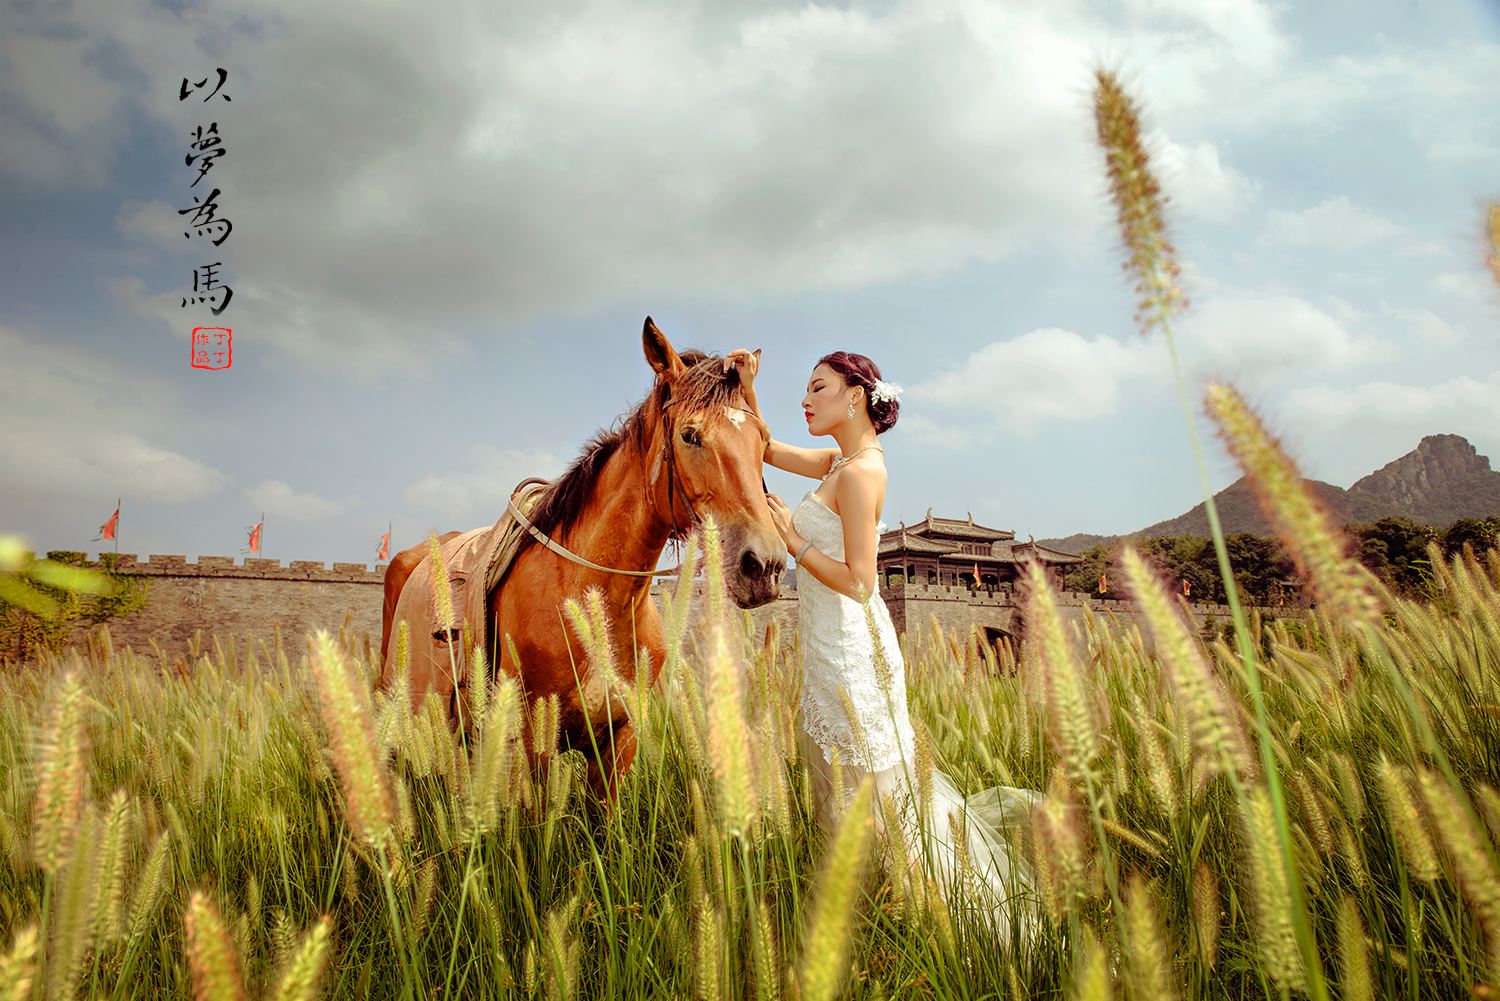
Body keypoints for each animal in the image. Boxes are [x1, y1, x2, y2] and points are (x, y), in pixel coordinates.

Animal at [381, 316, 786, 804]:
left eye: (763, 440)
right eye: (690, 435)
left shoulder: (619, 739)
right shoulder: (534, 739)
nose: (764, 565)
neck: (592, 600)